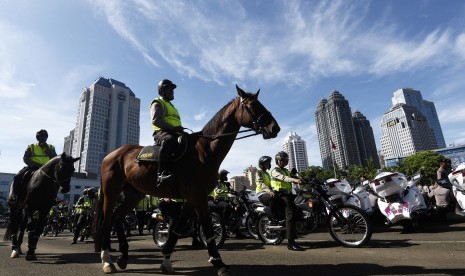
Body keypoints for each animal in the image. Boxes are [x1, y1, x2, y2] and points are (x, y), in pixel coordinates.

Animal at [93, 85, 280, 274]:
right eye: (252, 106)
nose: (275, 128)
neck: (204, 151)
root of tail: (109, 155)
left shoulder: (191, 199)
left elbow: (177, 229)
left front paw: (166, 260)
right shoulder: (199, 197)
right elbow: (208, 228)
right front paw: (218, 262)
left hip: (134, 194)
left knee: (117, 217)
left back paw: (123, 257)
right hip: (111, 191)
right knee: (107, 221)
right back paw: (107, 259)